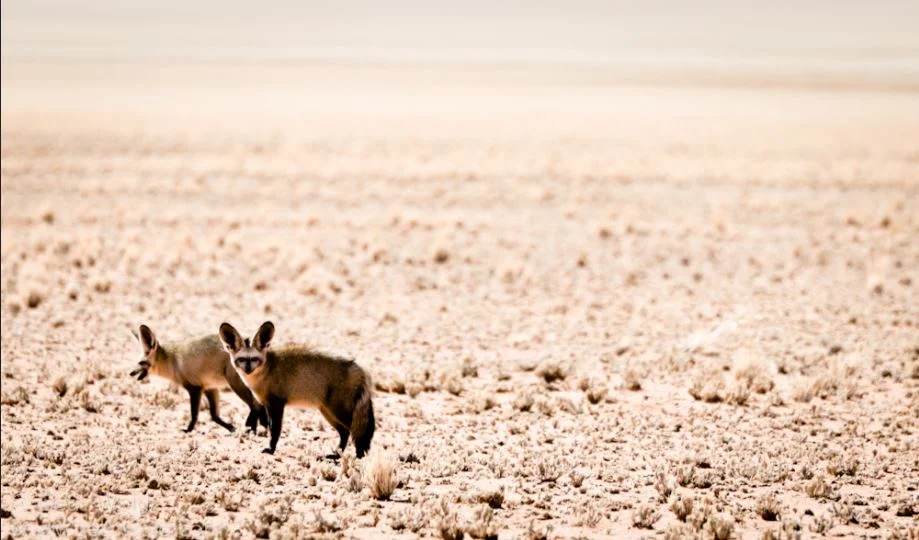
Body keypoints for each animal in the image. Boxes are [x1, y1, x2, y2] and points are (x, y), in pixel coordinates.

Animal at [129, 324, 268, 433]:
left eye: (141, 363)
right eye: (137, 362)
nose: (130, 373)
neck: (172, 362)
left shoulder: (194, 389)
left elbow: (194, 415)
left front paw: (188, 430)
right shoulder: (209, 388)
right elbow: (214, 416)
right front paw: (230, 427)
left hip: (236, 385)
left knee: (256, 406)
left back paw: (255, 429)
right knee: (257, 406)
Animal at [218, 321, 375, 458]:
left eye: (254, 359)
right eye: (242, 359)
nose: (248, 369)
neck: (267, 370)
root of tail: (360, 367)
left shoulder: (277, 404)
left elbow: (275, 430)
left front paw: (271, 449)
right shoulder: (268, 405)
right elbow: (270, 427)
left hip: (339, 411)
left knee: (356, 432)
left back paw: (359, 456)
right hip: (327, 412)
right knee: (345, 433)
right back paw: (336, 455)